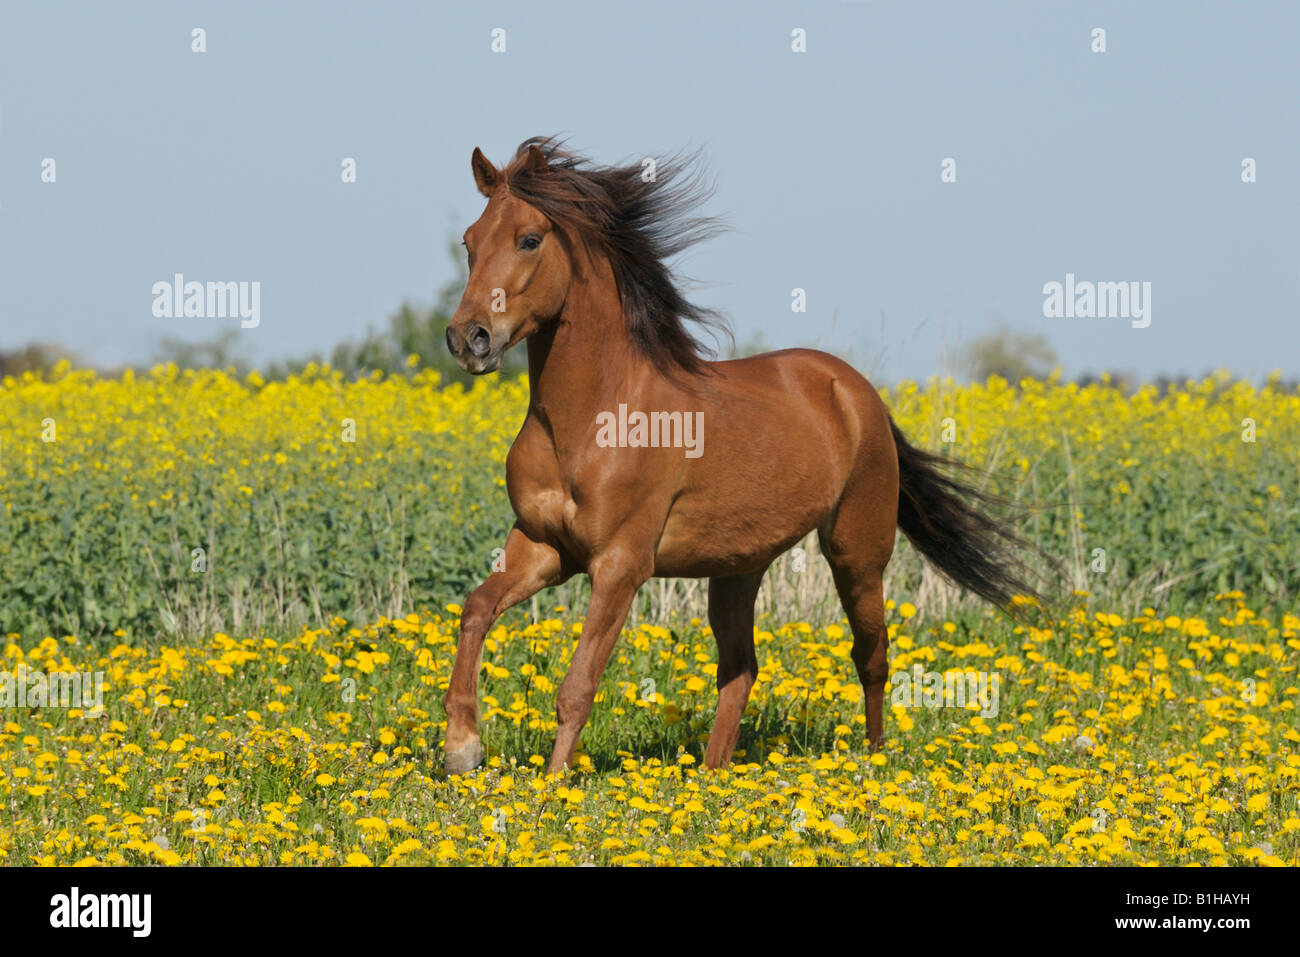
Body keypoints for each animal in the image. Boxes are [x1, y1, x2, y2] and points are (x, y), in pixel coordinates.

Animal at [441, 137, 1038, 775]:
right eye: (469, 241)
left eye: (530, 239)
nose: (469, 338)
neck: (586, 423)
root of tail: (859, 393)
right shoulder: (542, 546)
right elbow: (476, 609)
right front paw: (461, 749)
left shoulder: (620, 563)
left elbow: (577, 685)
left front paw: (554, 789)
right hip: (738, 565)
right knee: (741, 668)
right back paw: (712, 775)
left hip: (857, 551)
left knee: (870, 653)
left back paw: (872, 763)